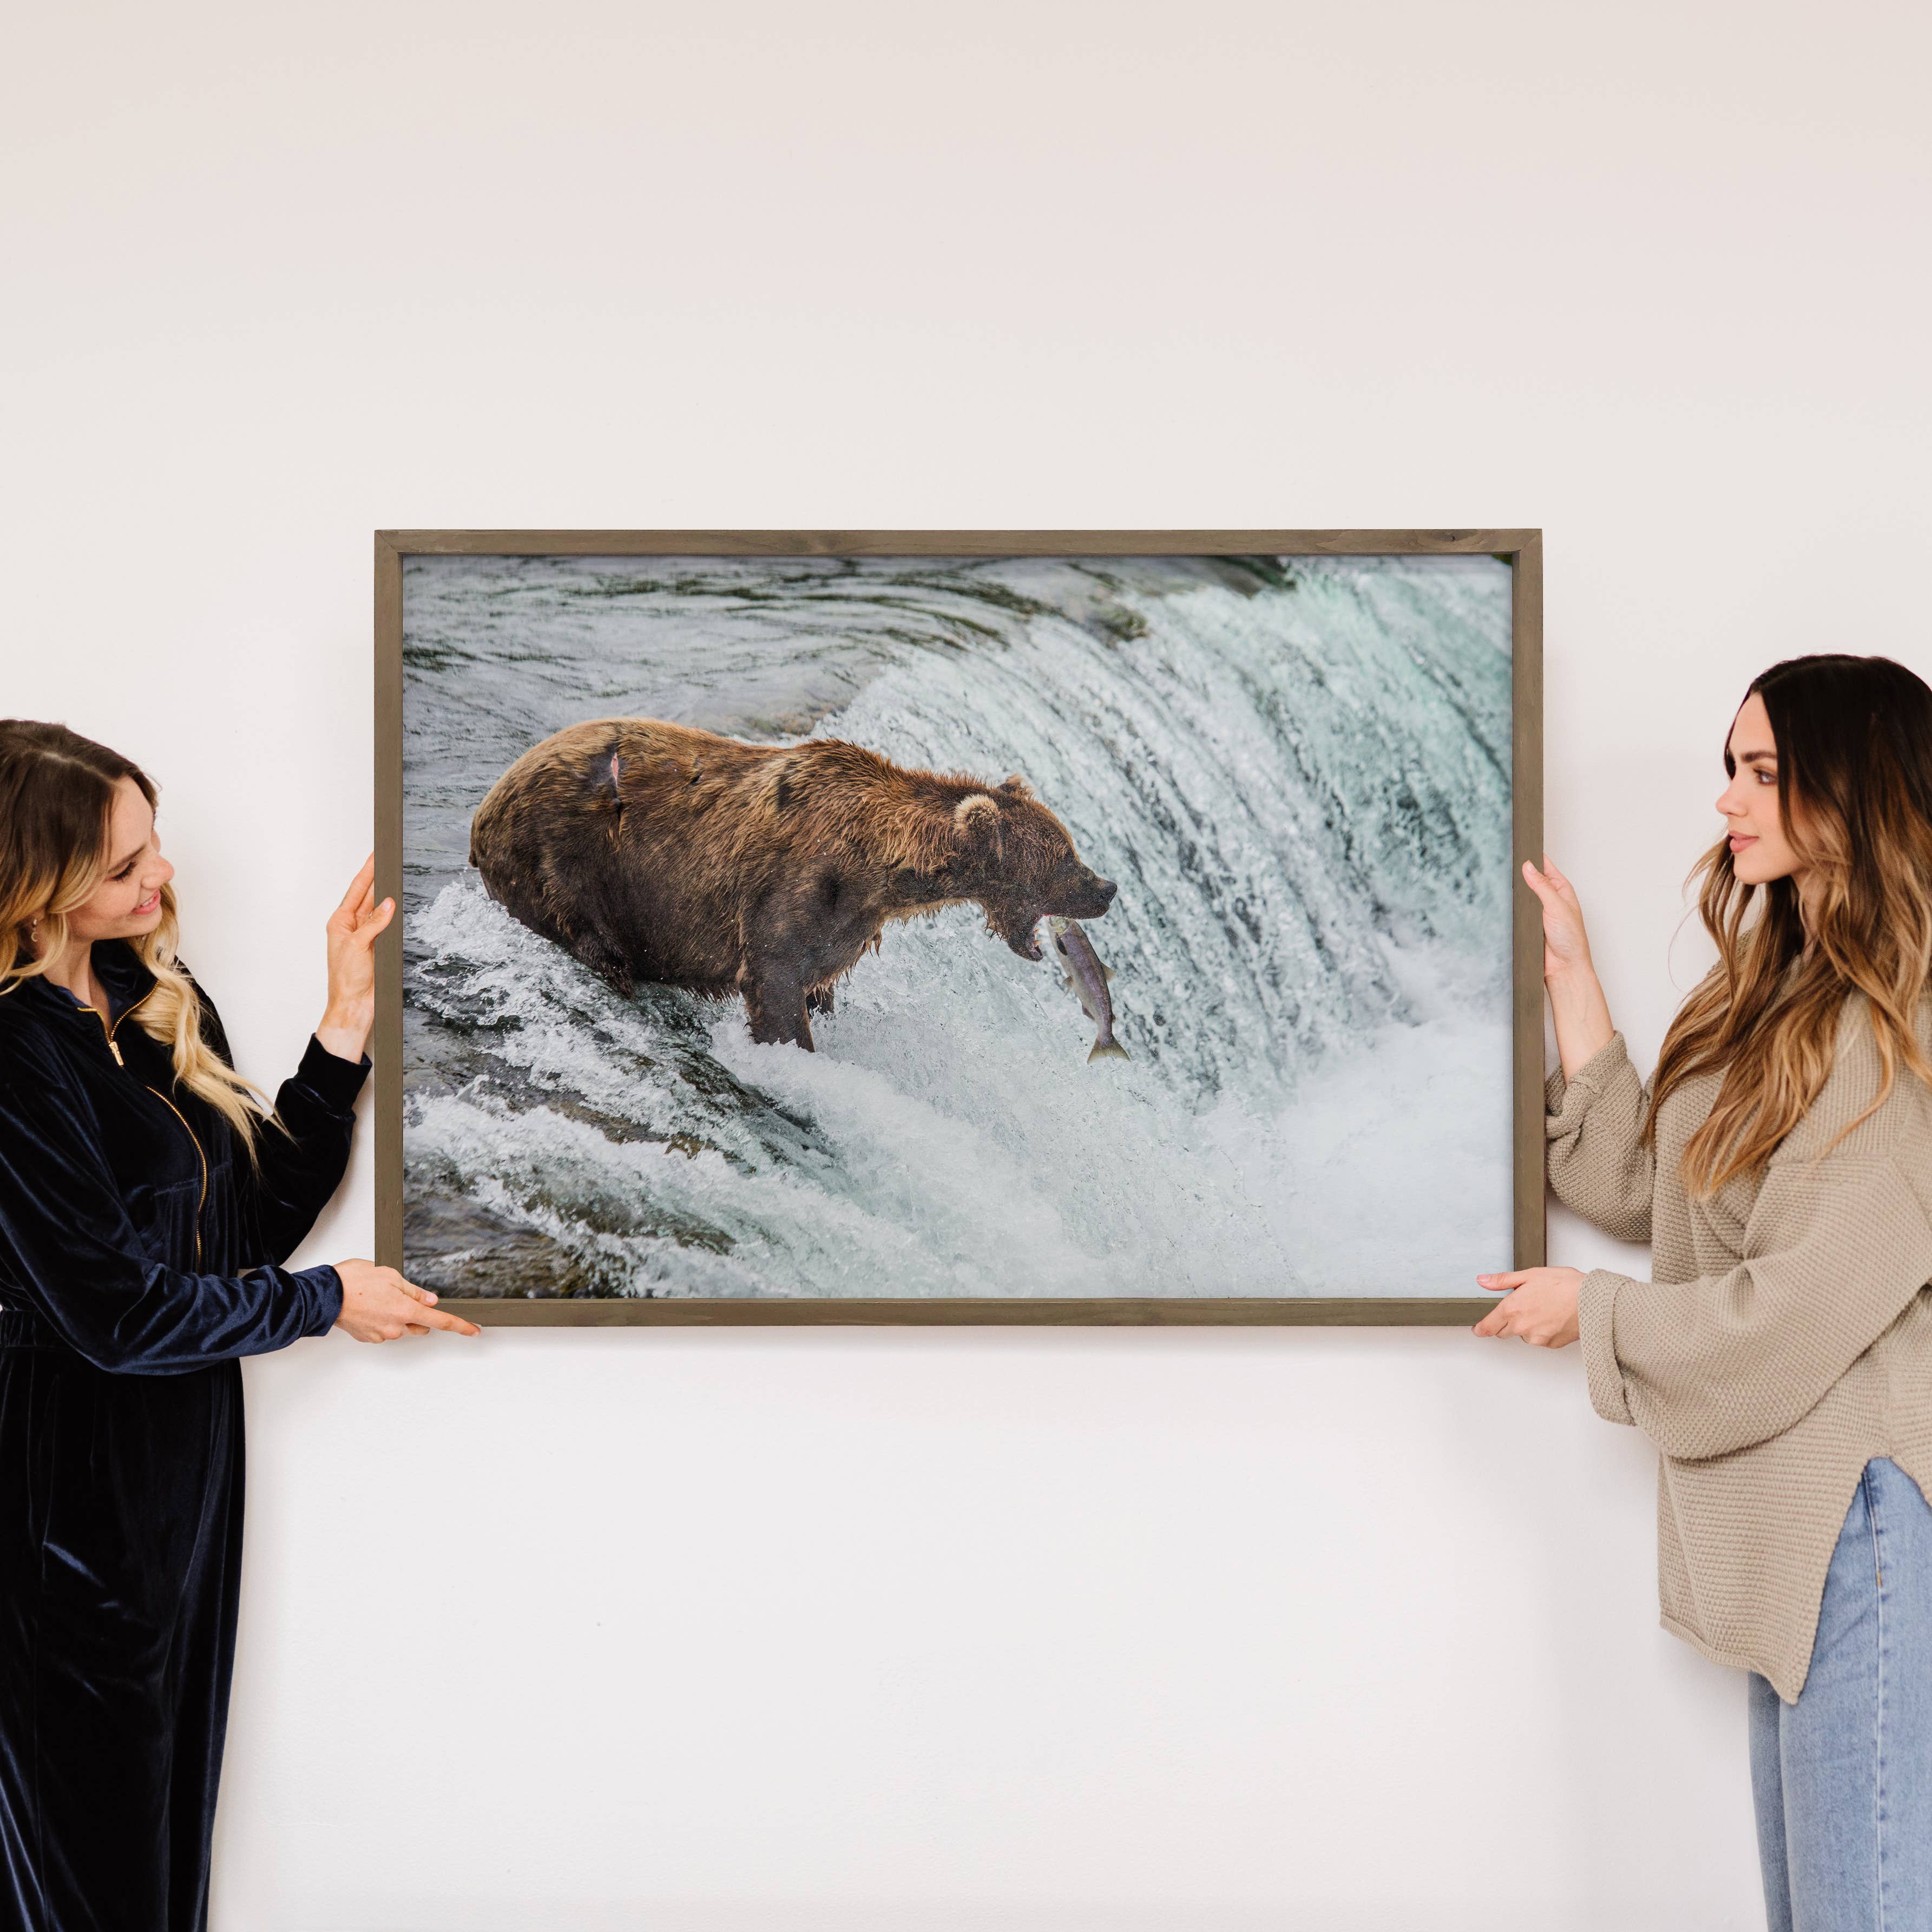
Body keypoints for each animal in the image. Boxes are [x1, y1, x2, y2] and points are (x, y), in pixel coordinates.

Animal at [465, 719, 1120, 1051]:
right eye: (1065, 857)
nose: (1108, 888)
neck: (880, 866)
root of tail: (485, 805)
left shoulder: (847, 923)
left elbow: (819, 976)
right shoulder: (792, 889)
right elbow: (774, 981)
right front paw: (794, 1048)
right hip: (565, 854)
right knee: (584, 927)